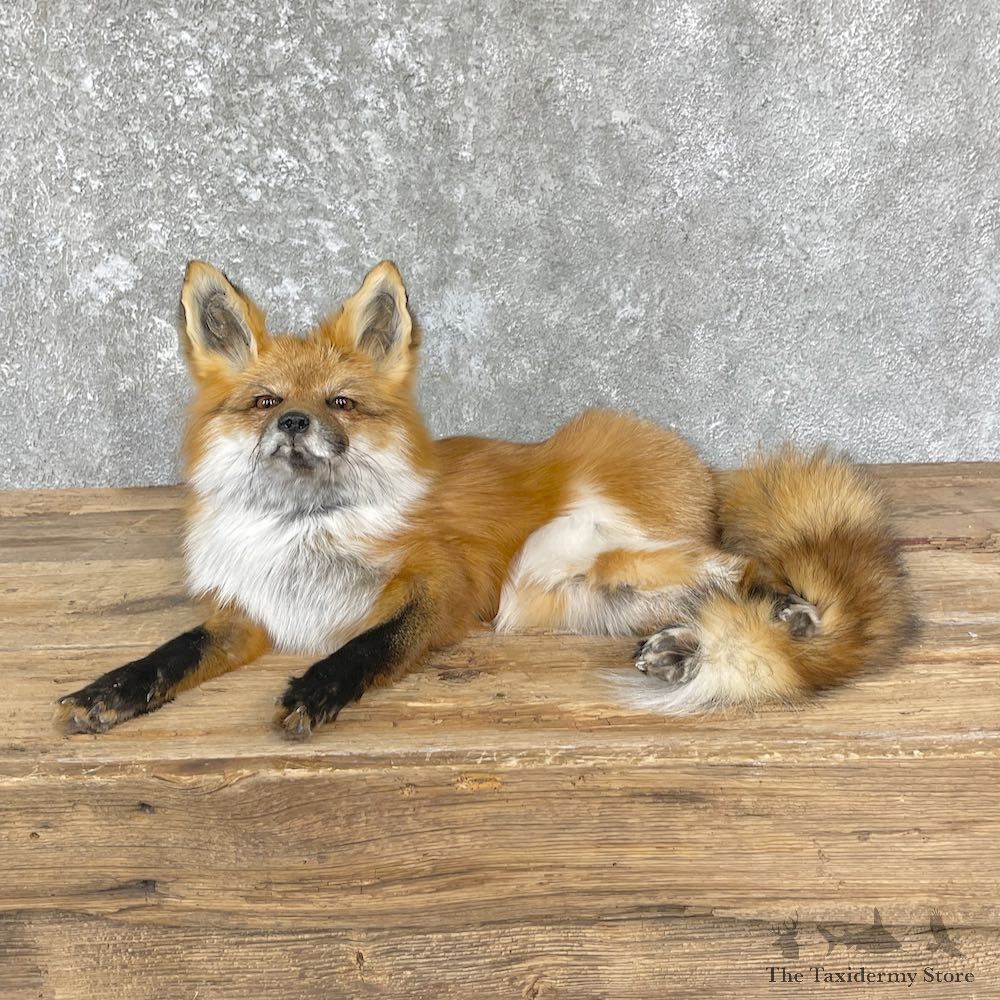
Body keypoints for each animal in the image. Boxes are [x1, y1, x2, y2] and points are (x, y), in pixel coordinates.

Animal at [57, 260, 915, 739]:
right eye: (267, 402)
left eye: (340, 403)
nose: (296, 422)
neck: (308, 535)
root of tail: (704, 467)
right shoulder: (248, 614)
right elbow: (171, 652)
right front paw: (112, 691)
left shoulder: (448, 585)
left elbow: (368, 645)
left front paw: (318, 689)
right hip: (566, 595)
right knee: (708, 590)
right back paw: (681, 650)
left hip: (573, 554)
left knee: (747, 571)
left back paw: (787, 619)